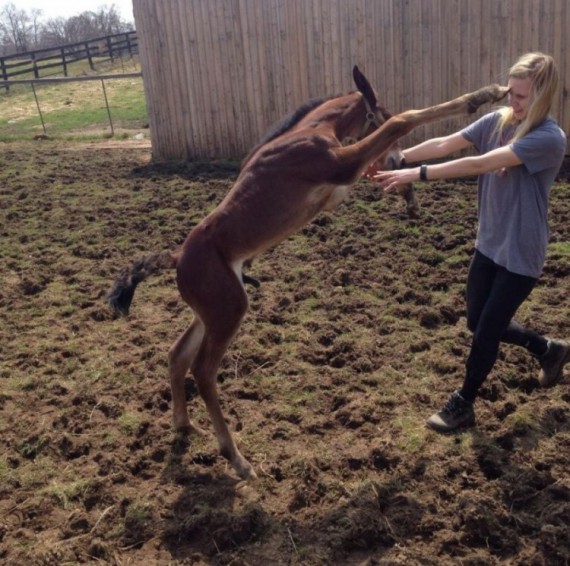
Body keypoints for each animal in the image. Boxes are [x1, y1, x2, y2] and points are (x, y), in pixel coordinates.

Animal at [107, 67, 506, 484]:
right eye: (379, 111)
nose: (401, 157)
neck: (310, 131)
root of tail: (177, 257)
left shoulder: (339, 185)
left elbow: (379, 160)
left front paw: (409, 196)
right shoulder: (340, 164)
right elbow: (403, 120)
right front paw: (485, 94)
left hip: (211, 312)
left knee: (177, 355)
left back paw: (185, 425)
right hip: (229, 310)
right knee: (202, 371)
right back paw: (236, 458)